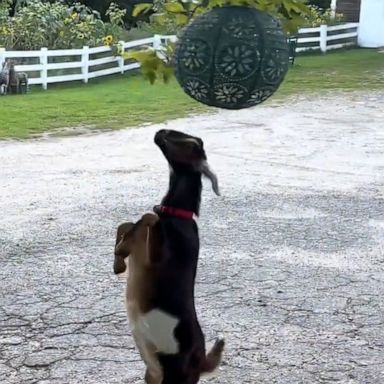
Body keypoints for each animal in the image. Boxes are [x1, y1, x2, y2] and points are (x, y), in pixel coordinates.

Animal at [112, 130, 224, 384]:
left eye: (192, 144)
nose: (160, 131)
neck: (176, 214)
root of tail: (201, 363)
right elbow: (126, 224)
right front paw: (118, 261)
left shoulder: (156, 256)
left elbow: (148, 217)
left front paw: (121, 252)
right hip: (153, 375)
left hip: (175, 376)